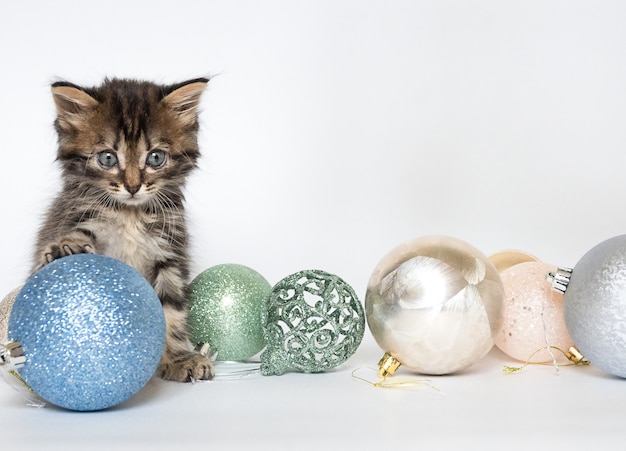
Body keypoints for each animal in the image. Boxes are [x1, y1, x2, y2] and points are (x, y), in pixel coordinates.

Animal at [33, 77, 214, 382]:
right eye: (107, 158)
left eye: (155, 158)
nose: (132, 186)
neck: (131, 215)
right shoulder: (82, 216)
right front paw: (65, 247)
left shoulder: (169, 252)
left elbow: (172, 310)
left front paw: (178, 358)